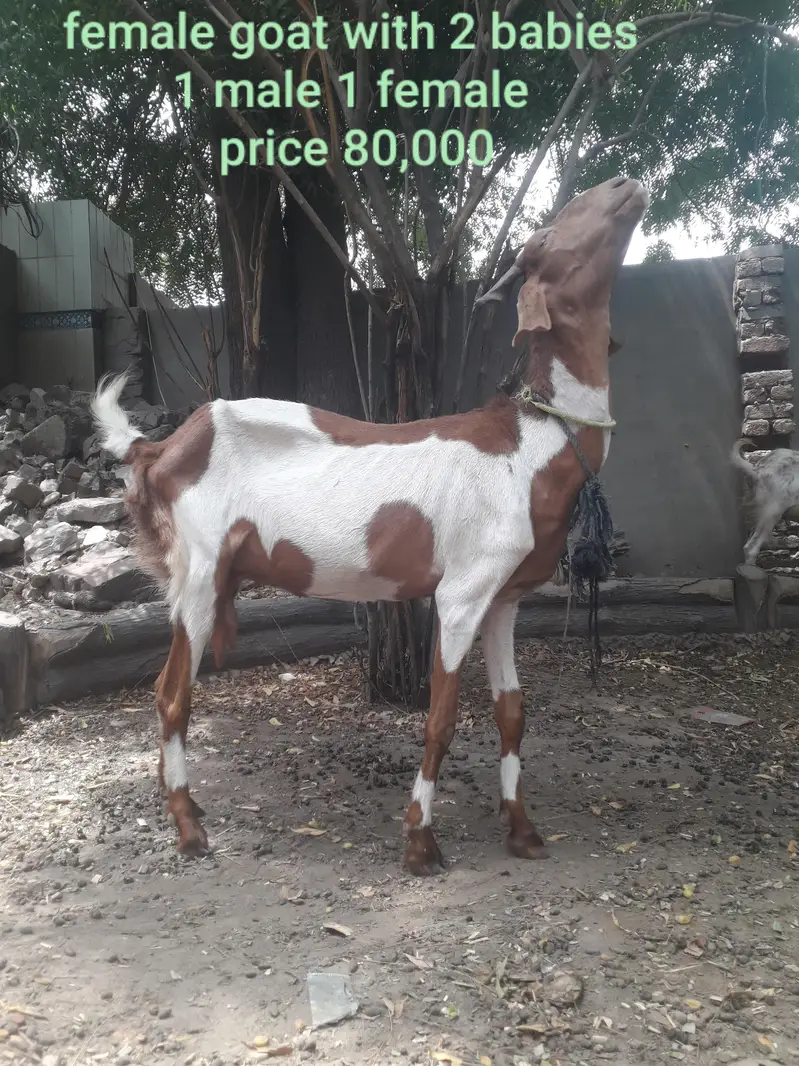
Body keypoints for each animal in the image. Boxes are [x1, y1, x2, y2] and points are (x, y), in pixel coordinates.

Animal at [91, 175, 649, 876]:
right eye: (546, 237)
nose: (624, 185)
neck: (531, 443)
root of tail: (161, 449)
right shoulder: (463, 590)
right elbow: (441, 715)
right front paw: (419, 841)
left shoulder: (504, 596)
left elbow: (512, 712)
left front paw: (522, 830)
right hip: (197, 568)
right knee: (170, 694)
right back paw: (189, 830)